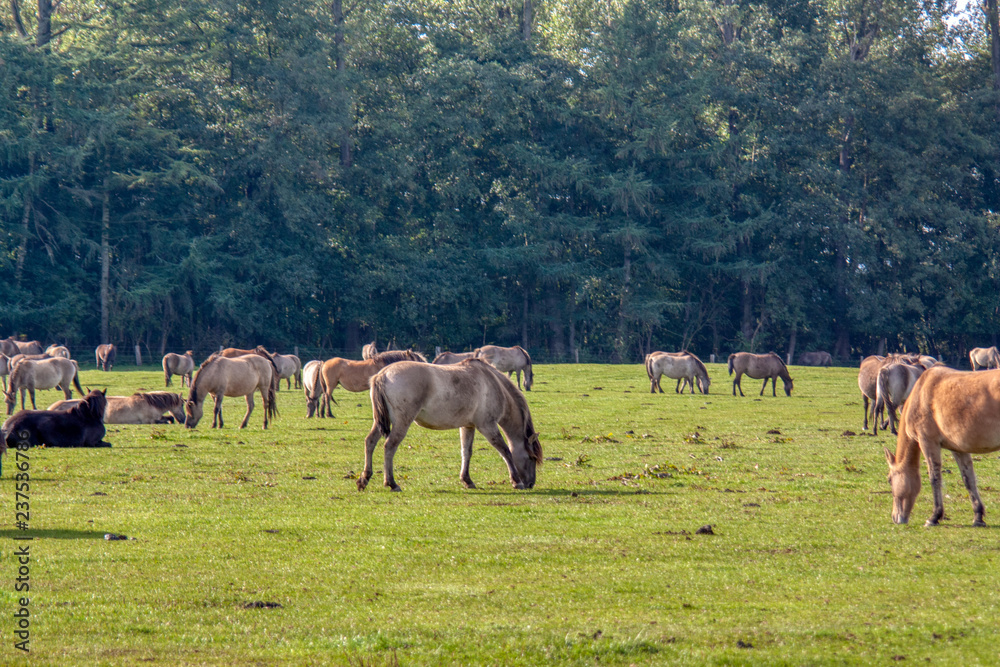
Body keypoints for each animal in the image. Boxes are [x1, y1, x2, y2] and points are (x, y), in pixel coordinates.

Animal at [51, 388, 188, 426]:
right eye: (182, 404)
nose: (183, 420)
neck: (150, 403)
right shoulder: (150, 421)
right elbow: (168, 420)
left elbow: (170, 418)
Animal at [360, 358, 544, 494]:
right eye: (532, 458)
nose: (530, 483)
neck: (492, 383)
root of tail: (382, 374)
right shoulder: (487, 426)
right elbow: (505, 451)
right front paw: (516, 481)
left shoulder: (468, 426)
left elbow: (466, 452)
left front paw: (467, 480)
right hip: (401, 422)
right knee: (389, 446)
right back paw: (392, 483)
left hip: (381, 422)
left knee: (370, 442)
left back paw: (364, 479)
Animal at [884, 366, 1000, 528]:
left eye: (890, 479)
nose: (895, 518)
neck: (920, 394)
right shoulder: (958, 449)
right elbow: (968, 479)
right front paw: (978, 517)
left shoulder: (928, 442)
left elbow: (934, 478)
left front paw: (934, 517)